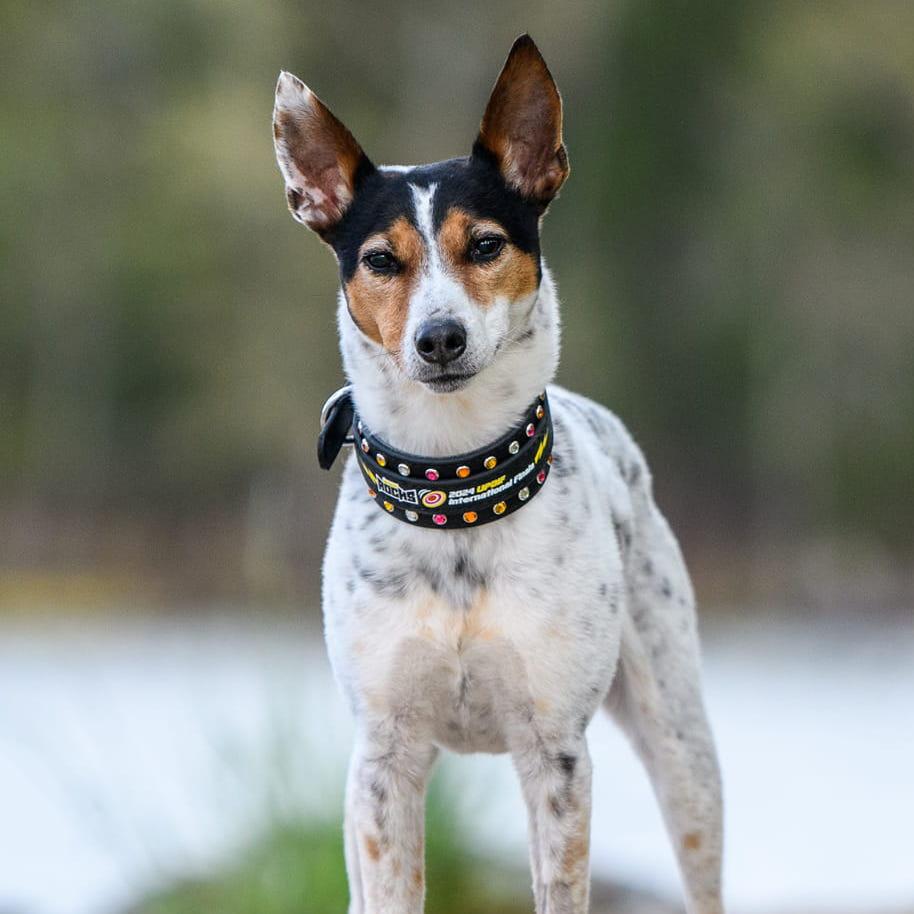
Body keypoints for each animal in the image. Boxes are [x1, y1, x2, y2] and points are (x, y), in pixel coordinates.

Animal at [272, 34, 724, 914]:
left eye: (485, 245)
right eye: (380, 260)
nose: (439, 338)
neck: (455, 482)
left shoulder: (556, 752)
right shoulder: (384, 760)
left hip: (684, 751)